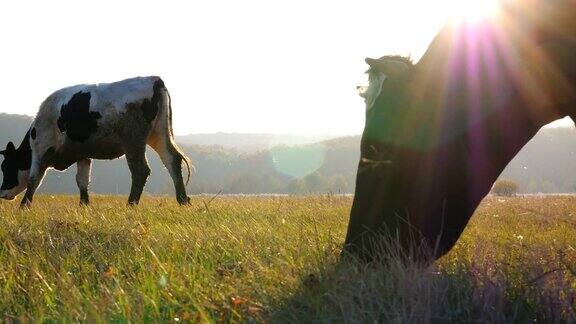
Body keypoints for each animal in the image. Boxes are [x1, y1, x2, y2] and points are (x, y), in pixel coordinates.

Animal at [0, 77, 194, 206]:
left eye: (6, 166)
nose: (2, 193)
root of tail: (153, 79)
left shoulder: (41, 148)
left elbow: (34, 179)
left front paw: (24, 206)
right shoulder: (82, 155)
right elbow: (82, 181)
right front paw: (84, 205)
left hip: (133, 140)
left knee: (140, 170)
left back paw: (131, 204)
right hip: (159, 135)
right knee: (172, 160)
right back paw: (182, 201)